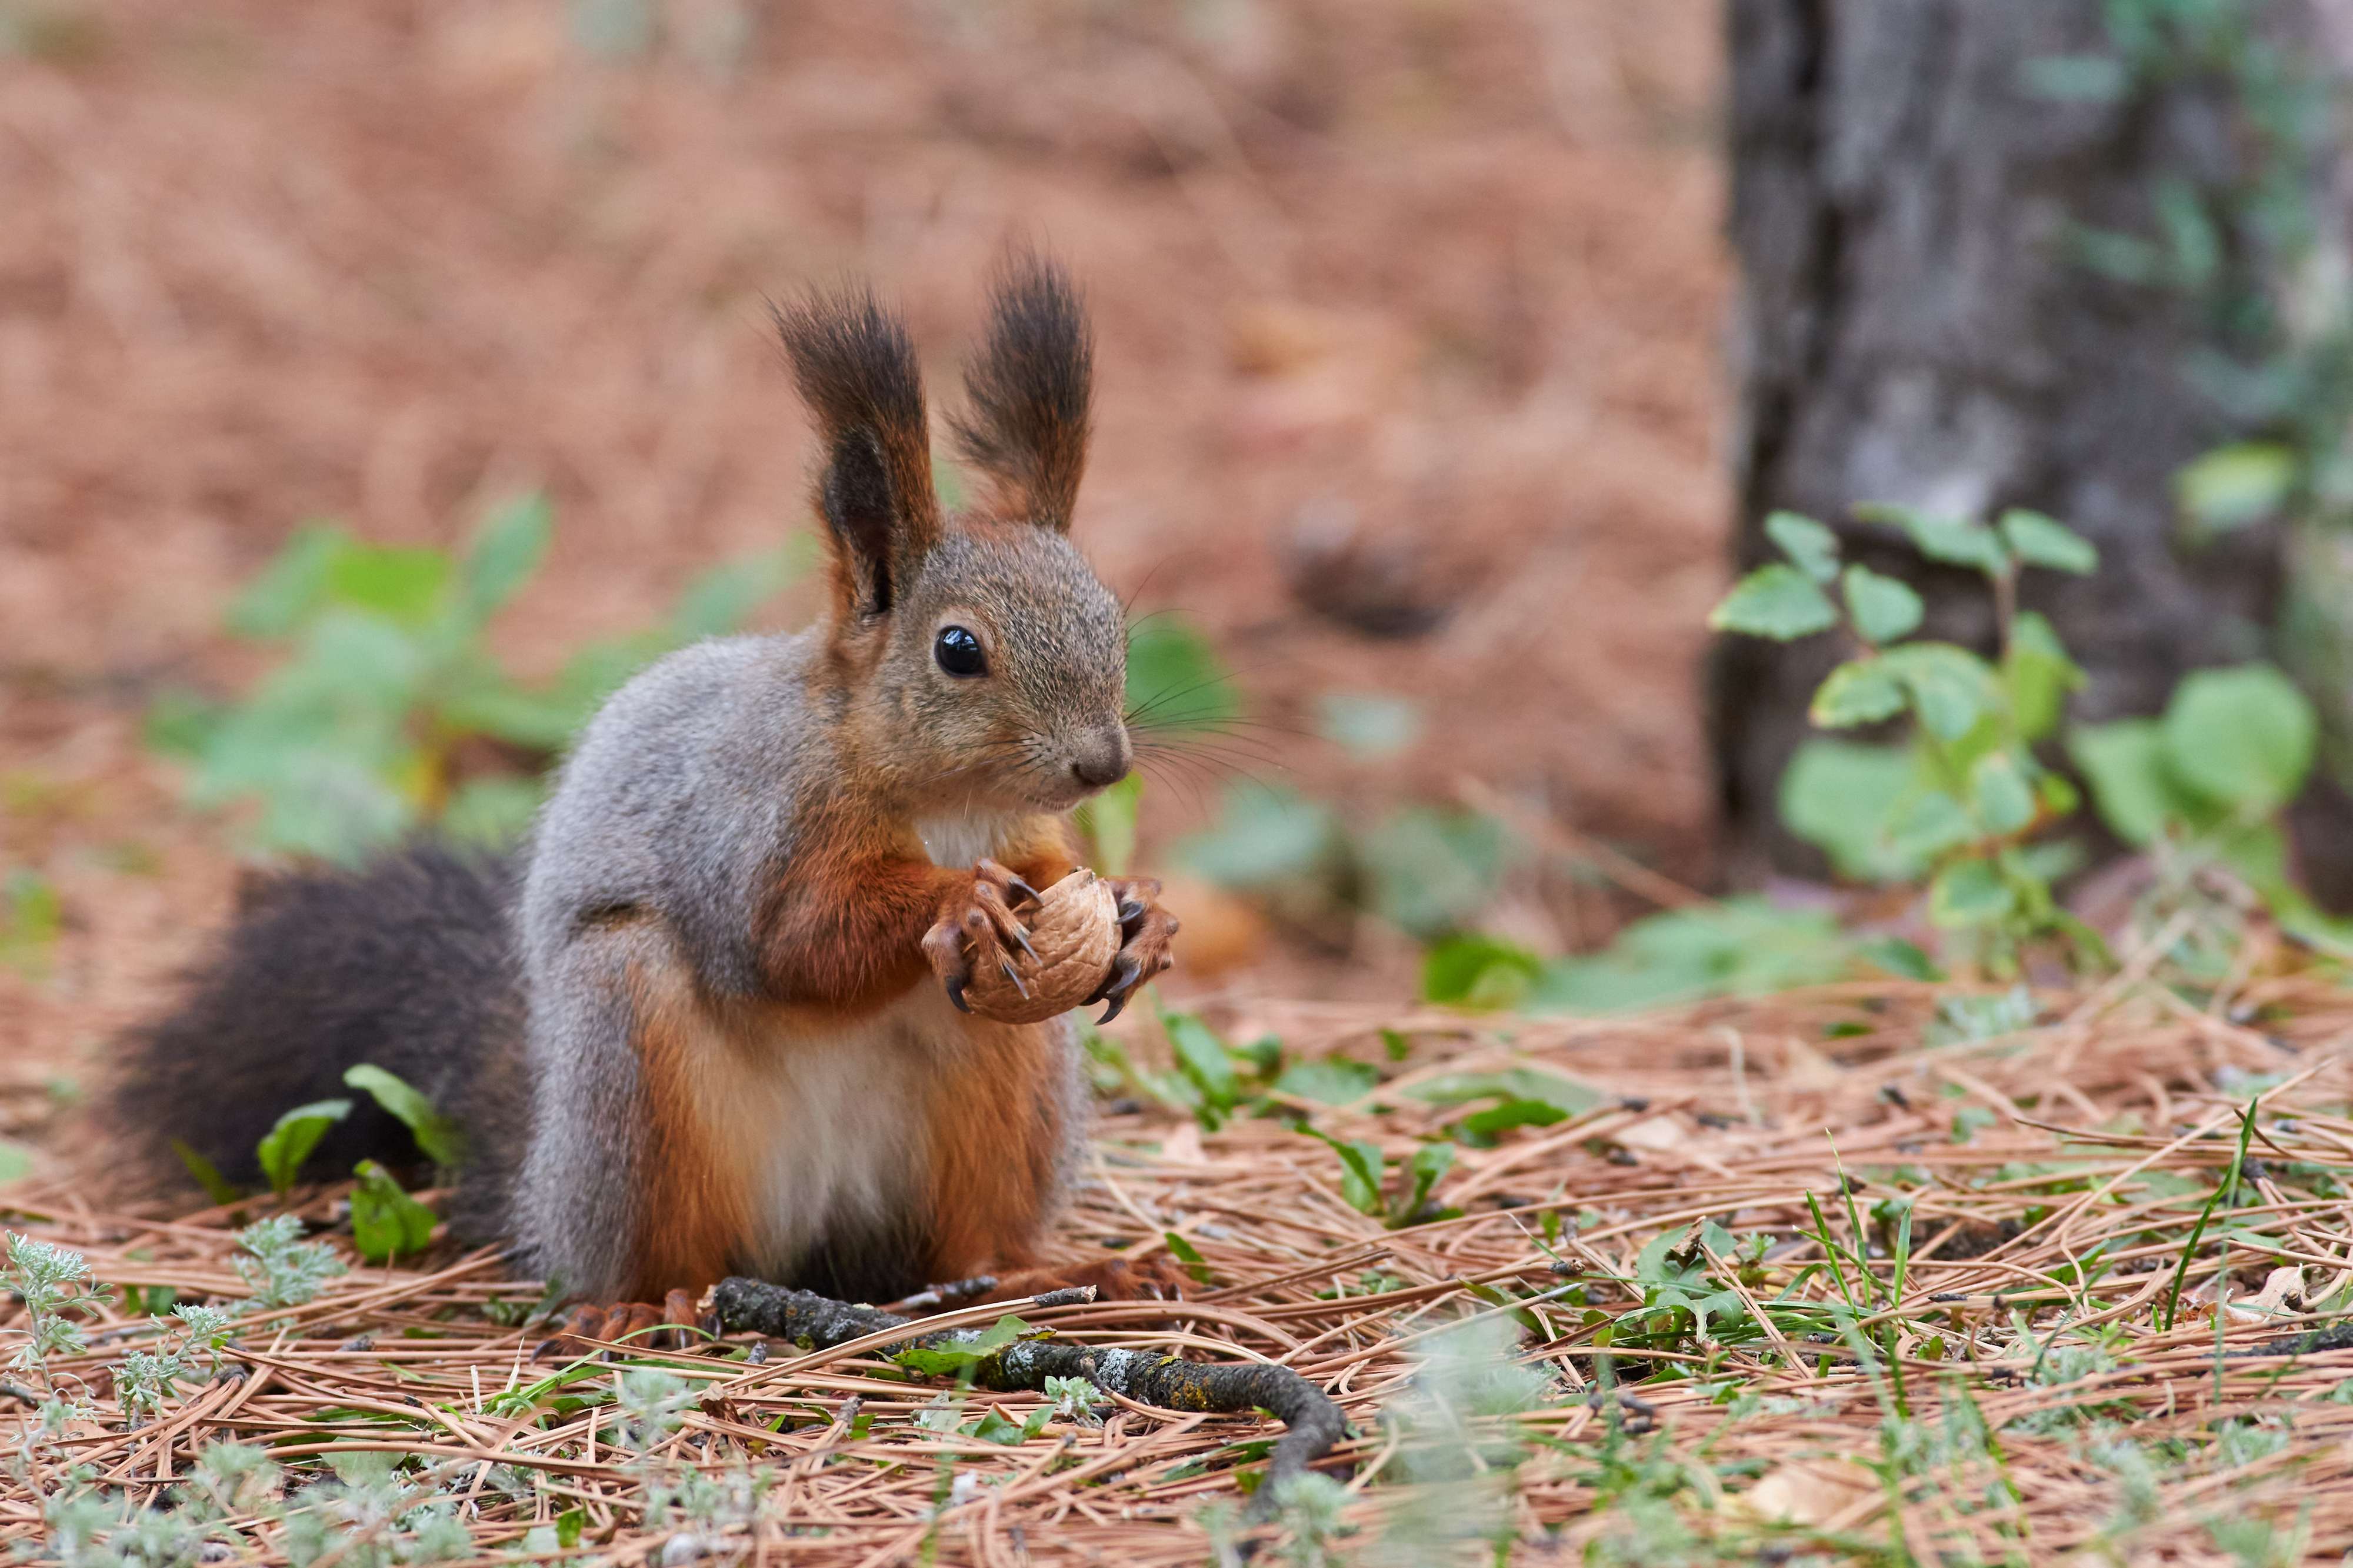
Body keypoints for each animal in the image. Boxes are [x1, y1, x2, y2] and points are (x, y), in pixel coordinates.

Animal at [101, 259, 1186, 1346]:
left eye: (1109, 618)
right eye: (958, 650)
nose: (1104, 763)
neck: (947, 802)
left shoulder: (1027, 833)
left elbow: (1057, 876)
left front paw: (1141, 911)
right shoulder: (752, 823)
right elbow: (792, 941)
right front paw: (959, 902)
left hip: (1006, 1075)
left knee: (969, 1243)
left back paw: (1060, 1271)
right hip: (630, 1060)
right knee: (659, 1237)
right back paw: (643, 1302)